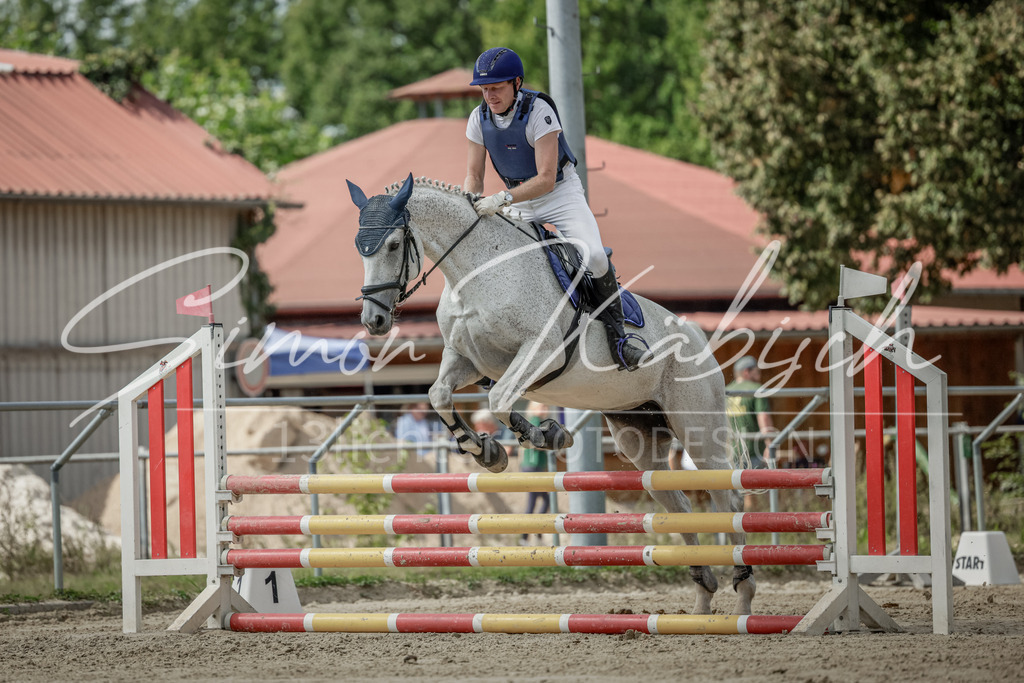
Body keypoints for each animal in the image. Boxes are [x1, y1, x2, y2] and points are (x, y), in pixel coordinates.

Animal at [346, 173, 754, 615]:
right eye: (359, 248)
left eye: (392, 245)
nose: (374, 320)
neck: (477, 271)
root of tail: (697, 335)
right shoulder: (468, 360)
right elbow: (440, 395)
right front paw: (484, 449)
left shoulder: (540, 353)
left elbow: (499, 400)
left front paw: (547, 435)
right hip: (638, 435)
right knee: (678, 506)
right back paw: (702, 603)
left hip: (697, 428)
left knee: (728, 501)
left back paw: (742, 599)